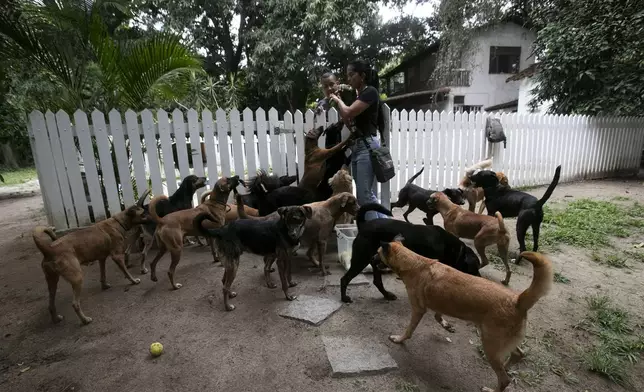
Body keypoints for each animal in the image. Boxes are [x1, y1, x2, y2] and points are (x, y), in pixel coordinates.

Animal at [32, 191, 150, 326]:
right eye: (143, 214)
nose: (154, 216)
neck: (118, 221)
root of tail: (48, 250)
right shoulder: (117, 256)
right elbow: (126, 272)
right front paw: (134, 281)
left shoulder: (102, 258)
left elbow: (103, 275)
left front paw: (105, 285)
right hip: (77, 278)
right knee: (75, 304)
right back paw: (85, 320)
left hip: (52, 281)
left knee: (51, 304)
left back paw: (56, 319)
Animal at [340, 204, 480, 304]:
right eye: (474, 267)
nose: (479, 277)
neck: (452, 247)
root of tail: (363, 225)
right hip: (361, 259)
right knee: (345, 279)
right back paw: (344, 298)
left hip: (376, 260)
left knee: (377, 281)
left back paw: (387, 295)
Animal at [378, 239, 552, 392]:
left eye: (377, 253)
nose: (372, 259)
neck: (414, 263)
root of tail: (517, 301)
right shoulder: (440, 303)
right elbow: (437, 316)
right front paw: (446, 326)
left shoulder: (418, 310)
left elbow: (409, 331)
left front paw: (398, 339)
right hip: (500, 342)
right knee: (518, 355)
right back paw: (507, 366)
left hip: (490, 346)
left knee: (504, 380)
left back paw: (491, 388)